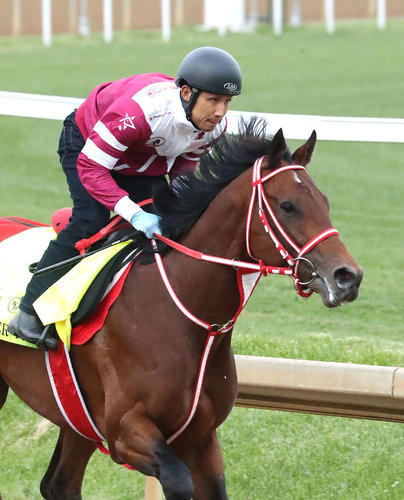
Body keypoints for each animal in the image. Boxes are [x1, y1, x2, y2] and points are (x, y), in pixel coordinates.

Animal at [0, 119, 362, 498]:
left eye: (325, 202)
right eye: (289, 206)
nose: (347, 277)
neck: (182, 315)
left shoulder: (201, 437)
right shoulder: (125, 430)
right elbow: (177, 480)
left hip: (76, 414)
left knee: (59, 483)